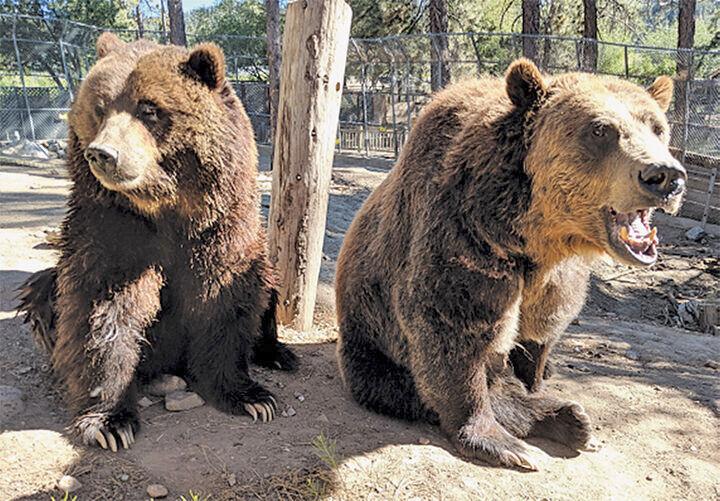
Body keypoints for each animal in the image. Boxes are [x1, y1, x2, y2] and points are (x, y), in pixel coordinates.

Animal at [17, 32, 297, 452]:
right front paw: (110, 422)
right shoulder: (113, 228)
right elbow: (102, 308)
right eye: (99, 107)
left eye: (149, 109)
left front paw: (252, 397)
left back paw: (278, 353)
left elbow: (226, 300)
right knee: (43, 291)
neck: (167, 208)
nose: (103, 153)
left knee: (267, 288)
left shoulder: (221, 229)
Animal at [335, 58, 685, 470]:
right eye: (600, 129)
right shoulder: (467, 238)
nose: (665, 176)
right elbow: (451, 331)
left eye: (657, 127)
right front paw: (500, 441)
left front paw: (538, 380)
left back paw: (568, 415)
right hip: (369, 339)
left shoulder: (557, 279)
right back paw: (562, 420)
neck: (539, 235)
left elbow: (540, 332)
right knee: (400, 383)